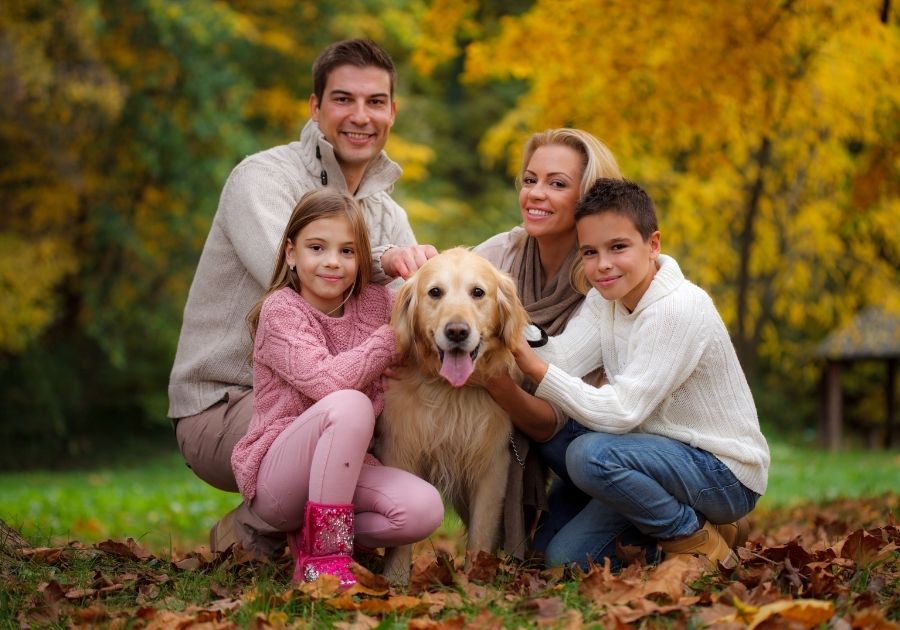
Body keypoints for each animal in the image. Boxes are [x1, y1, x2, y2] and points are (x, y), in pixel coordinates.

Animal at [376, 248, 532, 588]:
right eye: (435, 292)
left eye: (478, 293)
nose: (457, 332)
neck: (451, 393)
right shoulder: (402, 452)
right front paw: (395, 581)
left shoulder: (492, 464)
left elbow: (481, 532)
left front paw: (475, 582)